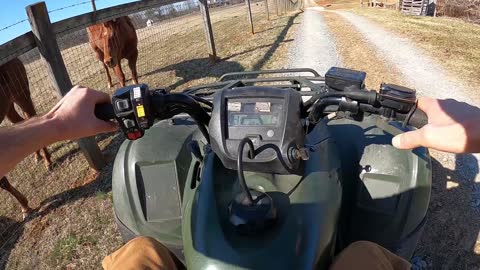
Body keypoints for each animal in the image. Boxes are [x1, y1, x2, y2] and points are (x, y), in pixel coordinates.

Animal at [0, 58, 52, 218]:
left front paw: (25, 206)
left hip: (21, 95)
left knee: (33, 118)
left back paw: (48, 161)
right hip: (8, 106)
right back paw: (37, 155)